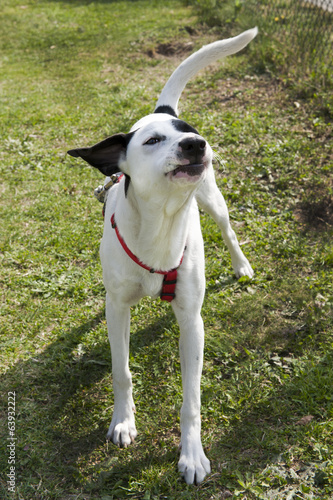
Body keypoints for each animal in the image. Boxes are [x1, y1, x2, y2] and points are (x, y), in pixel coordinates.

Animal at [67, 28, 256, 484]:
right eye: (152, 142)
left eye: (191, 132)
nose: (196, 143)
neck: (160, 224)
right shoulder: (118, 308)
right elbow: (121, 371)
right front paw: (122, 422)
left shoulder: (192, 322)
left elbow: (192, 400)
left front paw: (191, 454)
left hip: (213, 198)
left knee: (228, 229)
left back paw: (241, 265)